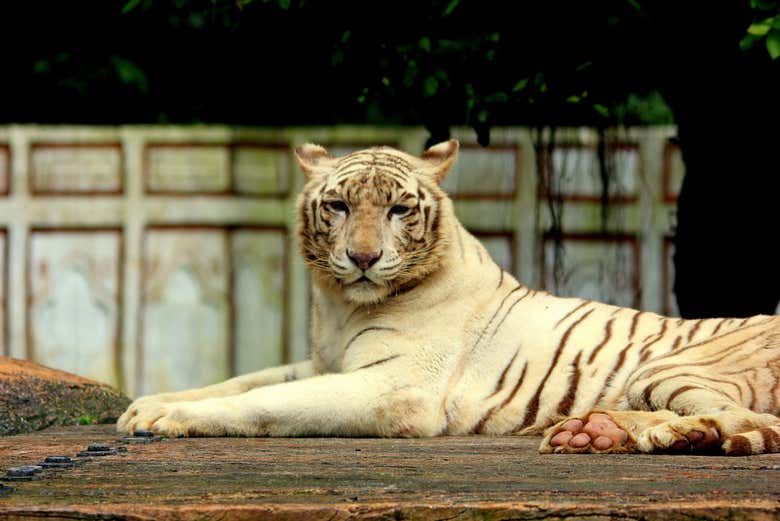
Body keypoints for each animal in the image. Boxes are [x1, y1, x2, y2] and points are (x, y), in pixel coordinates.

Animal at [117, 139, 780, 456]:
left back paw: (671, 437)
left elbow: (270, 402)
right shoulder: (323, 359)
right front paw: (146, 406)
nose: (362, 258)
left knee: (755, 424)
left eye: (398, 210)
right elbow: (242, 380)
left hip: (672, 367)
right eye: (338, 206)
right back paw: (595, 433)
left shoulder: (397, 386)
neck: (340, 304)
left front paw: (170, 419)